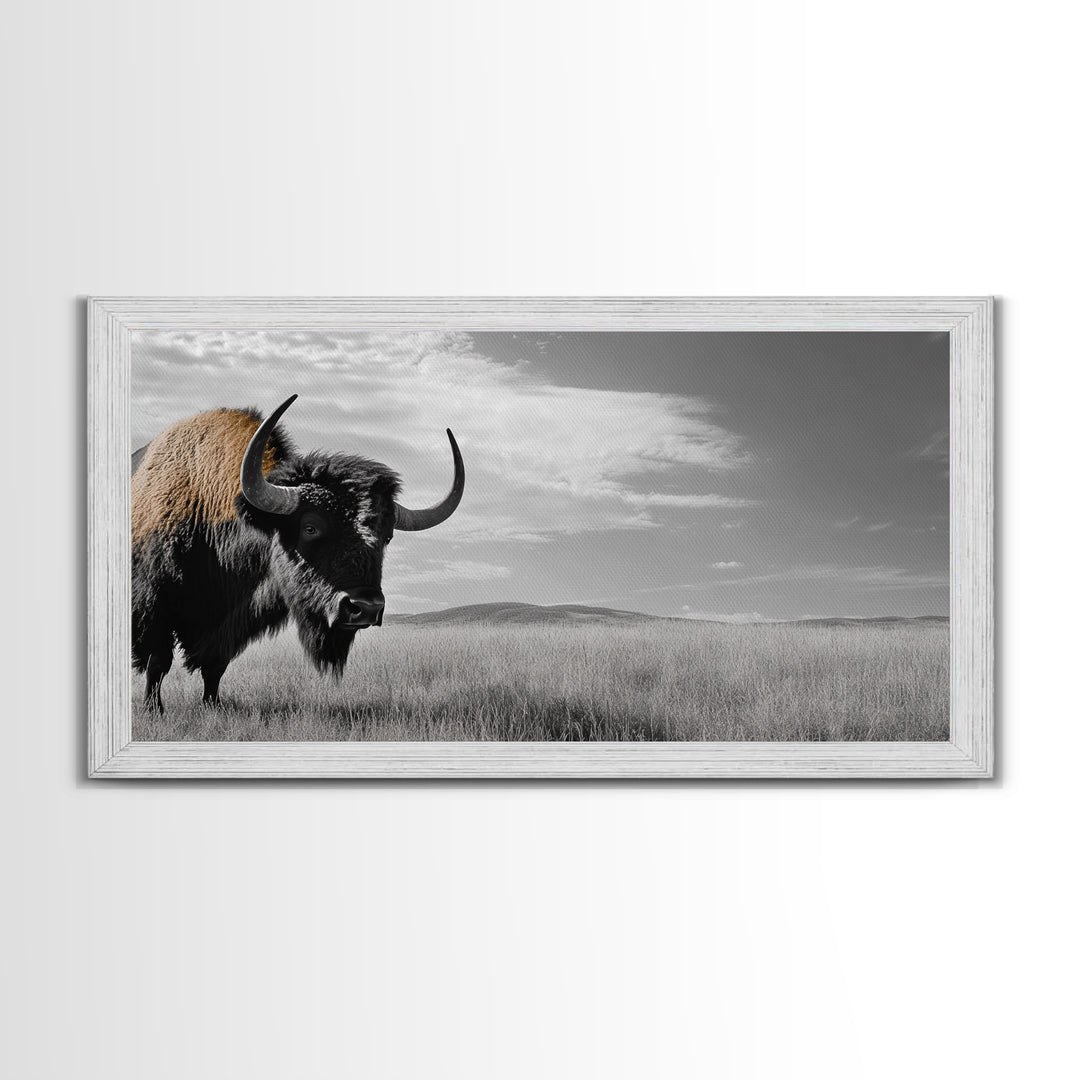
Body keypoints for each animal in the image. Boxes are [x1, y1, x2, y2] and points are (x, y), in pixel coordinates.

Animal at [131, 395, 463, 711]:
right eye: (310, 527)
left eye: (388, 536)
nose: (365, 608)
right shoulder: (155, 606)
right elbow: (158, 662)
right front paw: (155, 709)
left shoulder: (230, 625)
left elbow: (215, 667)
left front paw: (212, 705)